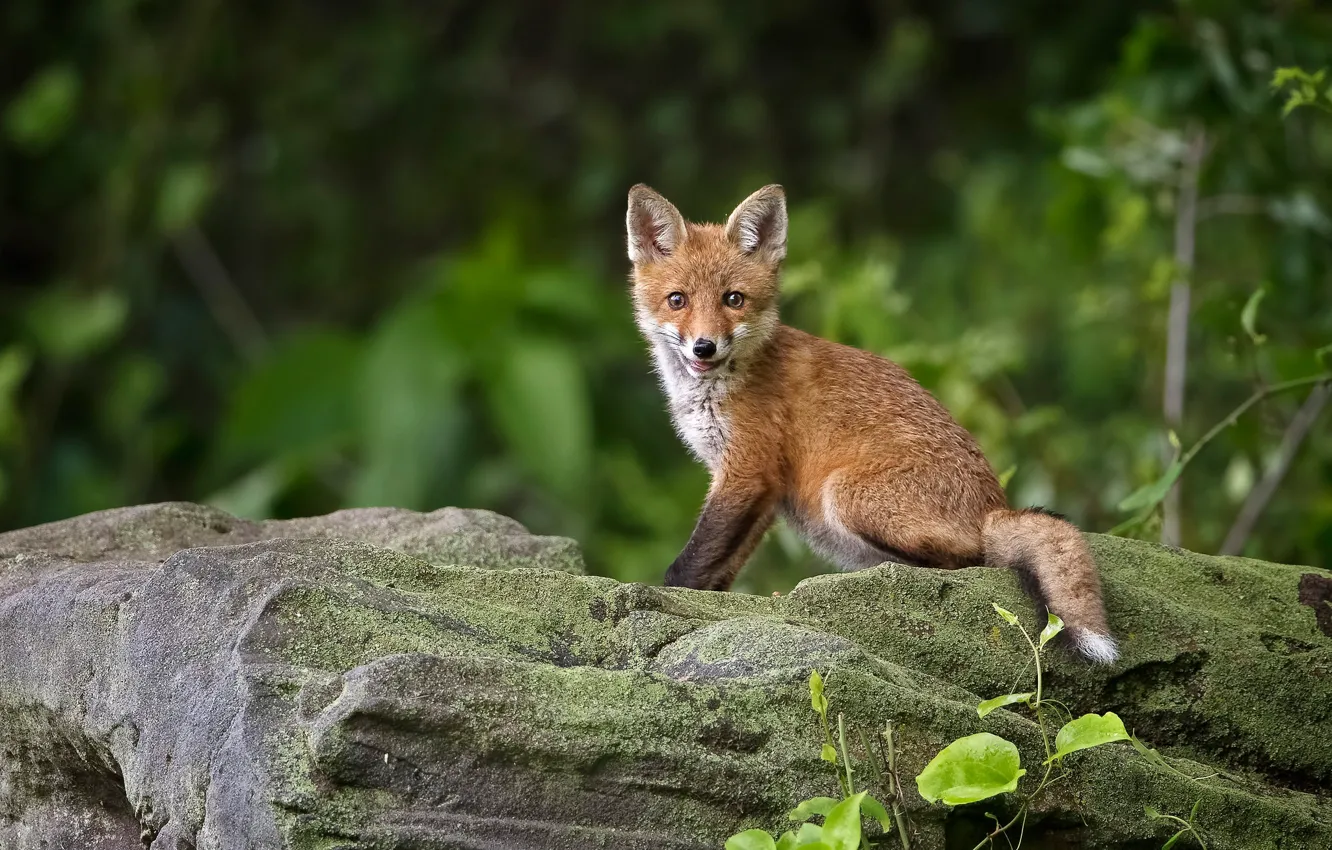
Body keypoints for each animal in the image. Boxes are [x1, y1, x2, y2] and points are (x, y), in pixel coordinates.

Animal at [626, 183, 1118, 663]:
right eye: (677, 300)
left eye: (733, 299)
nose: (704, 347)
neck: (720, 386)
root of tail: (993, 508)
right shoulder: (762, 489)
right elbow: (722, 563)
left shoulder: (748, 469)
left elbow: (691, 560)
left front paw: (666, 595)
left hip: (844, 496)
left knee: (970, 560)